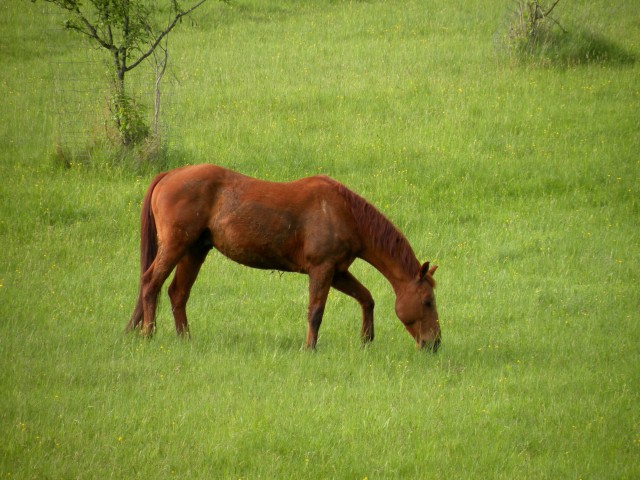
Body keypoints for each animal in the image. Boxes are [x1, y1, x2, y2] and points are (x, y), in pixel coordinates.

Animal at [127, 163, 442, 350]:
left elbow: (367, 298)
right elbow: (315, 312)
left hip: (194, 250)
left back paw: (185, 339)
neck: (344, 212)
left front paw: (366, 339)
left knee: (177, 293)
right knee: (151, 284)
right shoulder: (322, 269)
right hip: (175, 246)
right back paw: (148, 334)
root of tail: (169, 175)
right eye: (428, 301)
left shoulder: (338, 271)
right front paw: (310, 348)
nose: (435, 343)